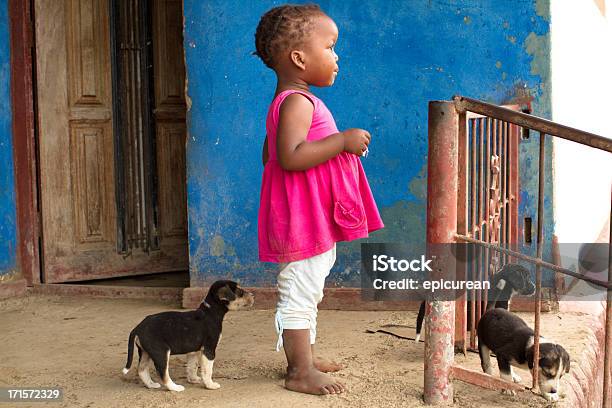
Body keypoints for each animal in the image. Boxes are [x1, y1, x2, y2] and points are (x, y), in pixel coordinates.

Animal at [120, 278, 255, 390]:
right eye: (240, 291)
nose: (253, 295)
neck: (211, 312)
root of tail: (138, 327)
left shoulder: (193, 350)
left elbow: (192, 367)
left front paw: (194, 380)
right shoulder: (209, 349)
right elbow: (207, 370)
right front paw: (210, 385)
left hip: (145, 352)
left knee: (142, 370)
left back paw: (152, 385)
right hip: (161, 352)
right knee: (163, 374)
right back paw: (175, 388)